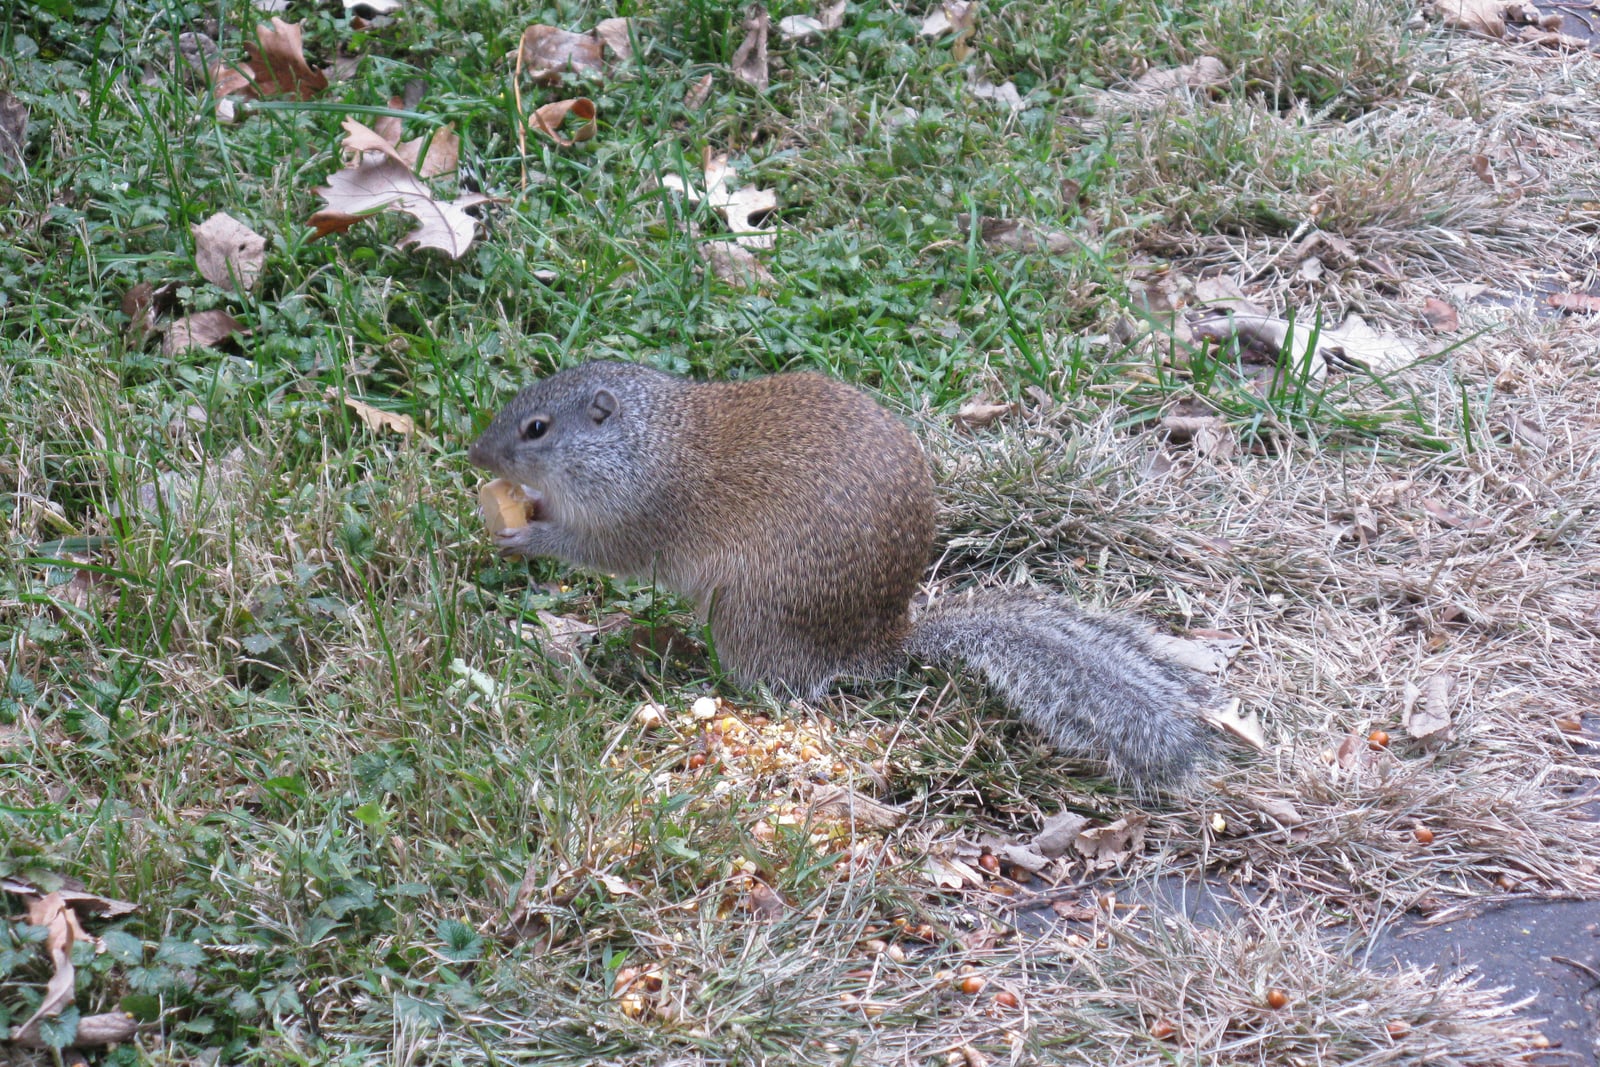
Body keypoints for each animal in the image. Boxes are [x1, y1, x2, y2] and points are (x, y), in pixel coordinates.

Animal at [468, 360, 1214, 789]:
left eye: (536, 428)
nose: (474, 454)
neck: (645, 442)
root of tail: (879, 644)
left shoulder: (638, 515)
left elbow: (593, 548)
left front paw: (523, 531)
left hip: (743, 615)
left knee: (777, 685)